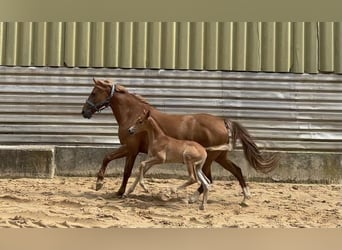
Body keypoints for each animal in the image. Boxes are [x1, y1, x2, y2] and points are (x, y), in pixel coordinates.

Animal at [81, 79, 280, 204]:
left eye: (94, 92)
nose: (84, 112)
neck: (133, 114)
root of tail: (223, 121)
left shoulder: (131, 148)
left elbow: (122, 168)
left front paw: (112, 189)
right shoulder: (135, 150)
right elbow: (113, 161)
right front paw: (107, 186)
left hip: (209, 159)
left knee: (209, 178)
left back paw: (191, 198)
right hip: (219, 157)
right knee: (235, 171)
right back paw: (244, 198)